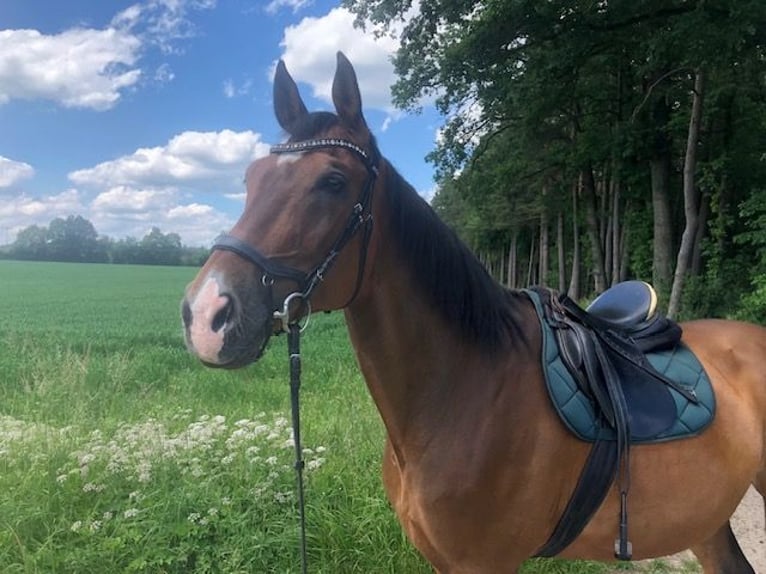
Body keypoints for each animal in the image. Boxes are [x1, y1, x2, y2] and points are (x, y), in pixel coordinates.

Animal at [183, 51, 766, 572]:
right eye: (250, 179)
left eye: (332, 182)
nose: (206, 315)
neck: (466, 393)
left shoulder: (484, 563)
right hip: (705, 520)